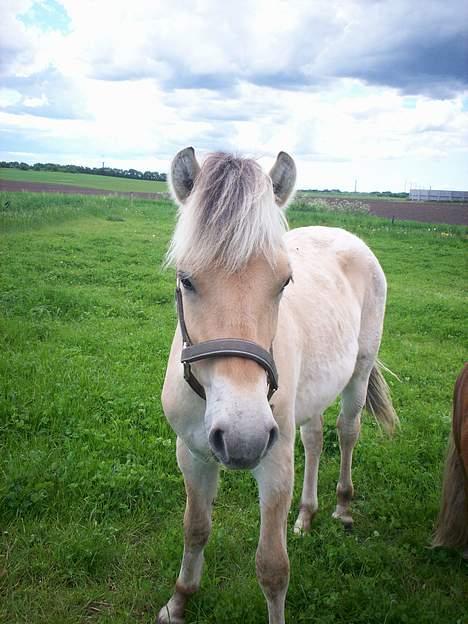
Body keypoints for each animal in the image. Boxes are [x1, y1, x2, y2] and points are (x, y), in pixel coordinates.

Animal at [158, 149, 398, 620]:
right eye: (186, 279)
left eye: (284, 282)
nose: (243, 437)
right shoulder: (192, 454)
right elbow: (195, 528)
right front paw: (179, 601)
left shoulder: (274, 462)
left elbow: (272, 567)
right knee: (316, 438)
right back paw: (306, 516)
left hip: (358, 373)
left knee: (347, 432)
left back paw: (342, 507)